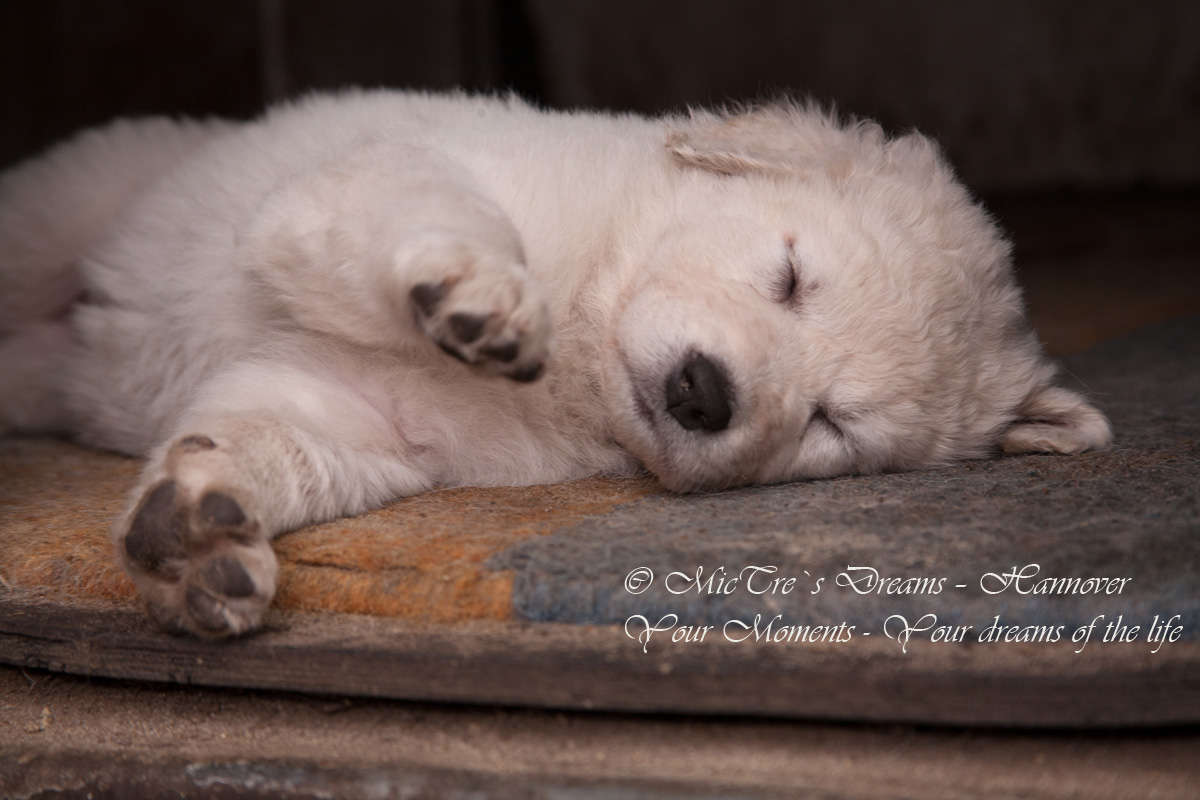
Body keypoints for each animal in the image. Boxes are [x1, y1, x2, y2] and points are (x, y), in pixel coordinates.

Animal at [0, 89, 1104, 638]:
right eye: (791, 274)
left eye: (833, 423)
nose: (703, 392)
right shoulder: (374, 179)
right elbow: (434, 205)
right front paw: (478, 294)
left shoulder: (375, 418)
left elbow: (283, 436)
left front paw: (201, 532)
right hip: (72, 203)